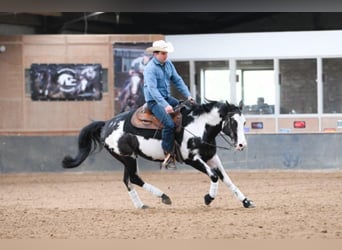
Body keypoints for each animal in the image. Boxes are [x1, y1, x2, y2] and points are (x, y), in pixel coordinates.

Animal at [61, 99, 255, 209]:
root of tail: (106, 124)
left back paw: (141, 205)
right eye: (232, 121)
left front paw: (246, 201)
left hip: (128, 158)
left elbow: (227, 180)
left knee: (128, 180)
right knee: (134, 178)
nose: (242, 145)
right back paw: (163, 197)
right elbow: (214, 176)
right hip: (127, 158)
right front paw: (208, 198)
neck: (199, 127)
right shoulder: (192, 159)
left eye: (244, 121)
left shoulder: (211, 157)